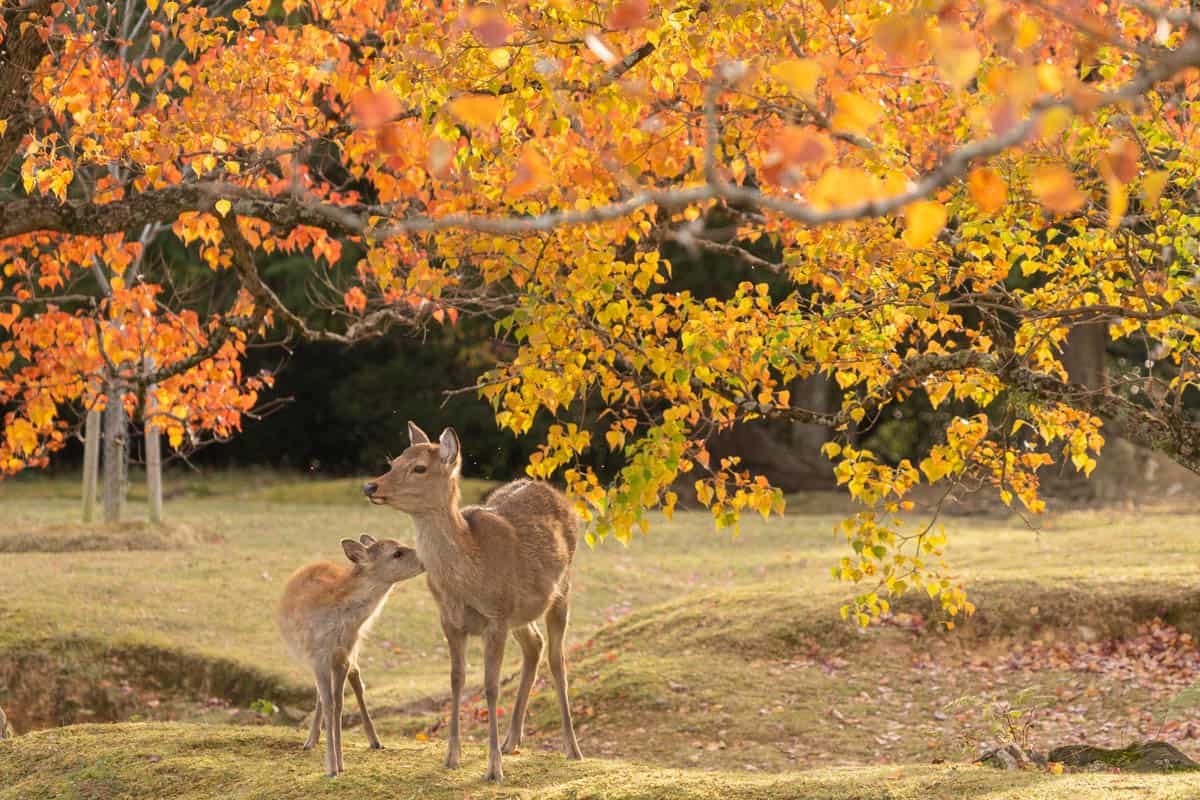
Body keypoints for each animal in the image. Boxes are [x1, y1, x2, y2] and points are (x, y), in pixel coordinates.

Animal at [360, 424, 580, 782]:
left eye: (419, 467)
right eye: (393, 461)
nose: (371, 485)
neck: (466, 580)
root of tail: (557, 494)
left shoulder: (497, 618)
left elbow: (490, 686)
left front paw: (494, 769)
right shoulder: (451, 620)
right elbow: (456, 679)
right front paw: (452, 757)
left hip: (562, 590)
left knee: (557, 658)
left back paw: (572, 749)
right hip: (521, 612)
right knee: (535, 644)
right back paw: (511, 740)